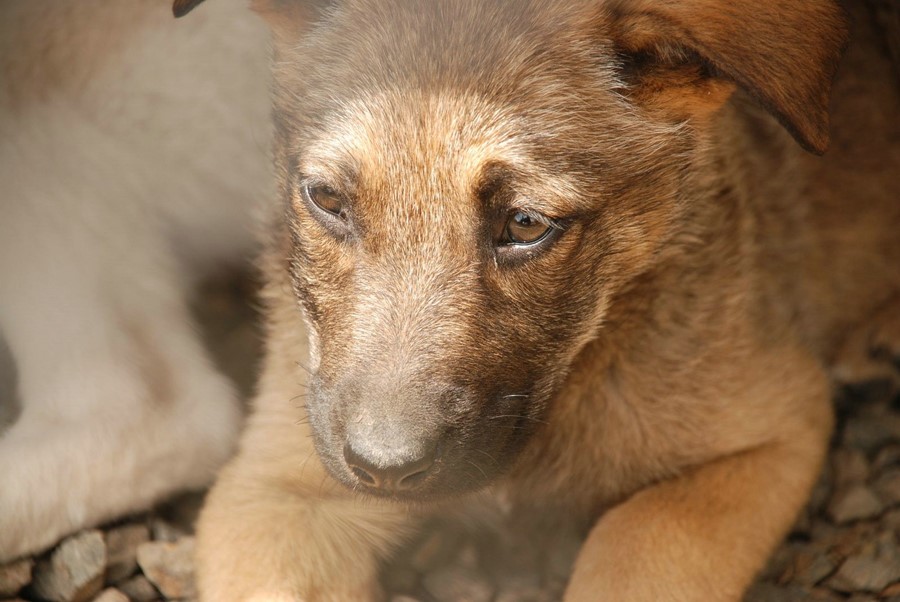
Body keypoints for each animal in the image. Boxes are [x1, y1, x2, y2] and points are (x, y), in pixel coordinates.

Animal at [178, 0, 900, 596]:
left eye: (526, 225)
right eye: (326, 199)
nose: (384, 469)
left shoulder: (769, 431)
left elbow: (636, 541)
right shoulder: (275, 490)